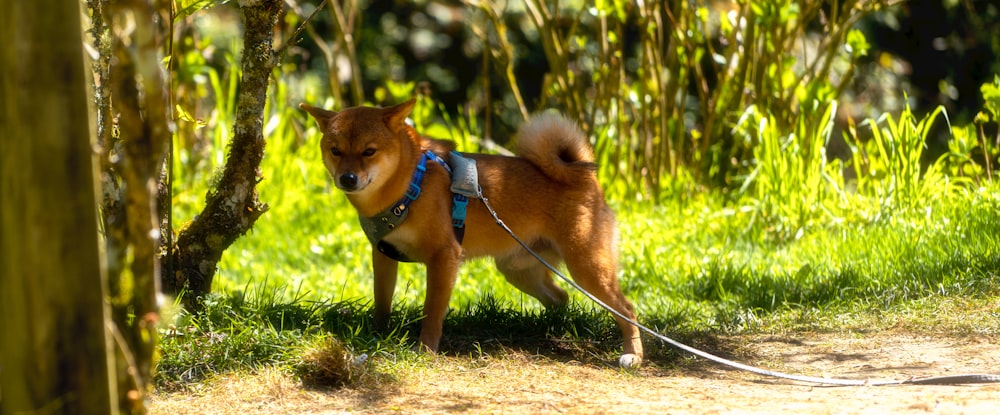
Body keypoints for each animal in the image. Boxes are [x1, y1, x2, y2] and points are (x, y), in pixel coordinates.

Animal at [300, 100, 644, 368]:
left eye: (369, 152)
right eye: (335, 150)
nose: (347, 178)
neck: (409, 183)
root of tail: (582, 175)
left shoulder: (444, 257)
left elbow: (432, 312)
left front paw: (425, 349)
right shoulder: (383, 254)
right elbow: (382, 301)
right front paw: (378, 334)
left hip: (587, 268)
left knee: (627, 309)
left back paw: (633, 355)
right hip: (519, 270)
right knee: (561, 297)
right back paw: (550, 329)